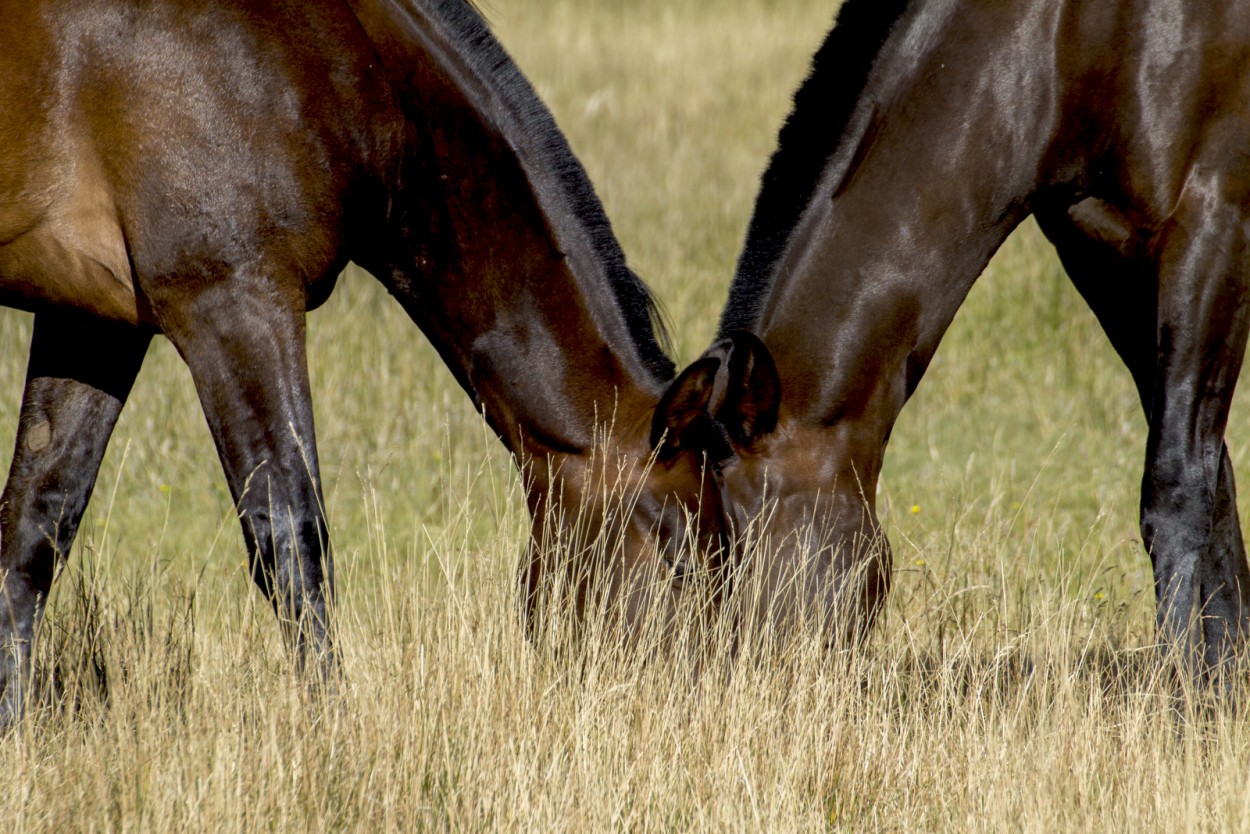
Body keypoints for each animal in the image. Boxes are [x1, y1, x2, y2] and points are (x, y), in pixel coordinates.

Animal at [0, 0, 725, 725]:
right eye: (680, 556)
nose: (693, 706)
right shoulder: (235, 305)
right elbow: (291, 535)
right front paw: (331, 730)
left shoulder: (94, 320)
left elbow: (35, 524)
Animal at [665, 0, 1250, 680]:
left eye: (738, 540)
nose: (744, 680)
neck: (1070, 41)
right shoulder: (1103, 253)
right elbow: (1214, 477)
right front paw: (1225, 675)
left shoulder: (1213, 226)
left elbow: (1178, 483)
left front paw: (1186, 689)